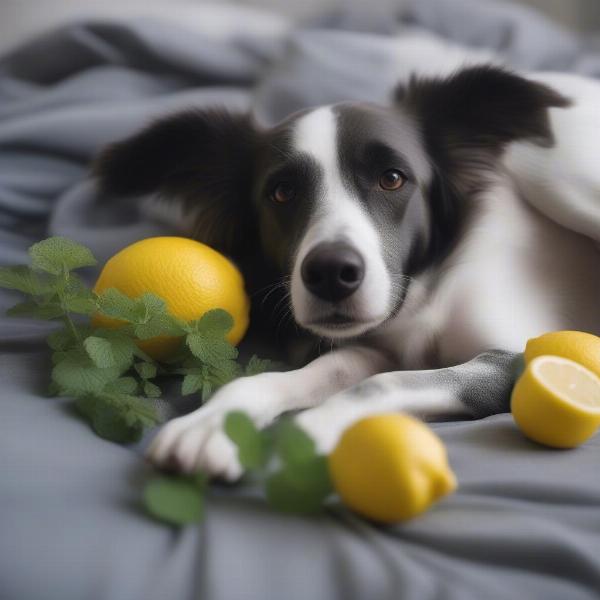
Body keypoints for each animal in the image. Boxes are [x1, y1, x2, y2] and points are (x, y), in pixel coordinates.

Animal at [94, 64, 600, 478]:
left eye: (392, 178)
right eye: (282, 192)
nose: (331, 274)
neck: (424, 292)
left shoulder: (517, 357)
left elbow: (380, 386)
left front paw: (302, 435)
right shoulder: (370, 347)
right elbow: (299, 376)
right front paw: (216, 425)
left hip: (558, 177)